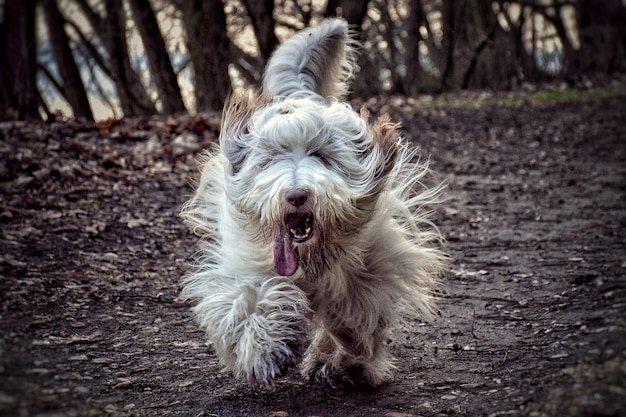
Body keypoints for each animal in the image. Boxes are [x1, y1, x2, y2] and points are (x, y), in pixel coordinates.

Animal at [178, 16, 446, 386]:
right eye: (271, 159)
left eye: (320, 155)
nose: (296, 195)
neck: (310, 256)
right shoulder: (246, 263)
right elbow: (249, 297)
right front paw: (266, 349)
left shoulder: (368, 271)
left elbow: (353, 320)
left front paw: (345, 360)